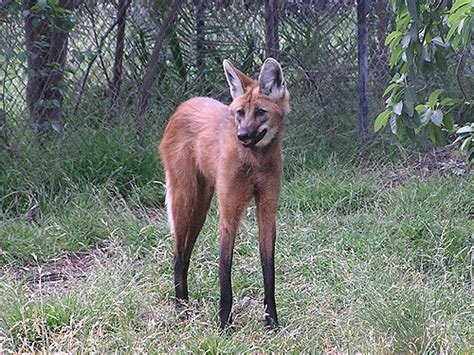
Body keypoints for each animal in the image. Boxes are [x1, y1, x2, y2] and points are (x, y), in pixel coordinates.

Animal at [159, 58, 290, 330]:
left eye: (260, 112)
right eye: (240, 113)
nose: (242, 135)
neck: (255, 160)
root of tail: (184, 104)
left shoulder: (267, 210)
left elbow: (268, 271)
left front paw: (272, 322)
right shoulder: (229, 214)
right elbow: (225, 272)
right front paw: (224, 324)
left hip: (201, 205)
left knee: (186, 253)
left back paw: (185, 304)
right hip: (185, 199)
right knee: (177, 254)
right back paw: (181, 309)